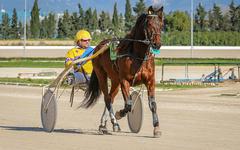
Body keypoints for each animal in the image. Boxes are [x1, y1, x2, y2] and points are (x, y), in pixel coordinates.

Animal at [80, 5, 163, 137]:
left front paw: (156, 128)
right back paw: (114, 123)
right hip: (101, 75)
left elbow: (153, 105)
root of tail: (99, 46)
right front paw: (119, 114)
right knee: (107, 98)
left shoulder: (150, 81)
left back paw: (103, 125)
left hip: (115, 80)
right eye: (149, 24)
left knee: (110, 98)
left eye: (161, 24)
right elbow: (128, 105)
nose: (157, 44)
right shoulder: (124, 80)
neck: (138, 56)